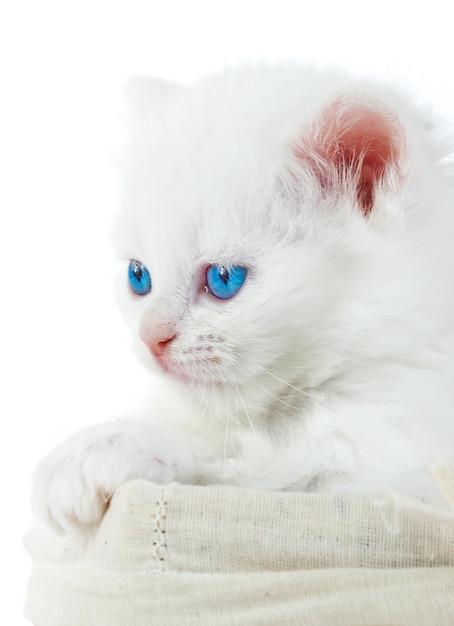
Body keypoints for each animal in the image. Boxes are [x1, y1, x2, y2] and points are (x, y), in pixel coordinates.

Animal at [32, 63, 454, 532]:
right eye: (138, 277)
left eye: (223, 279)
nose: (151, 337)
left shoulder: (383, 472)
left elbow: (244, 462)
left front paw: (106, 449)